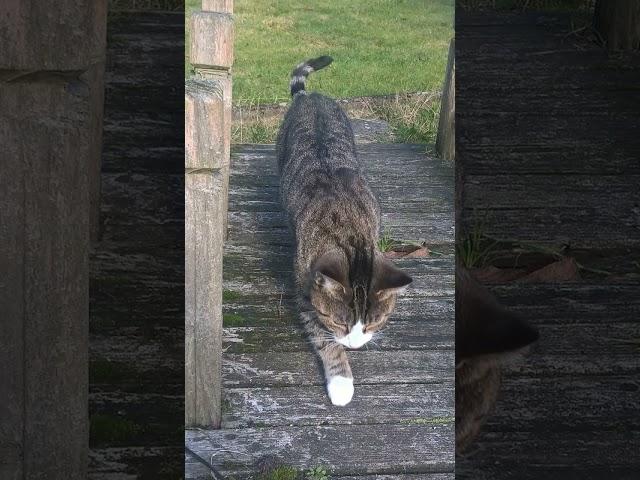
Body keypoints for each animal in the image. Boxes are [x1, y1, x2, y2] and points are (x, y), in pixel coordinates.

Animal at [278, 56, 412, 406]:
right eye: (339, 321)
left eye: (376, 321)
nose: (354, 344)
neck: (350, 232)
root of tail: (309, 97)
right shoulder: (305, 292)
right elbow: (323, 338)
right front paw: (341, 380)